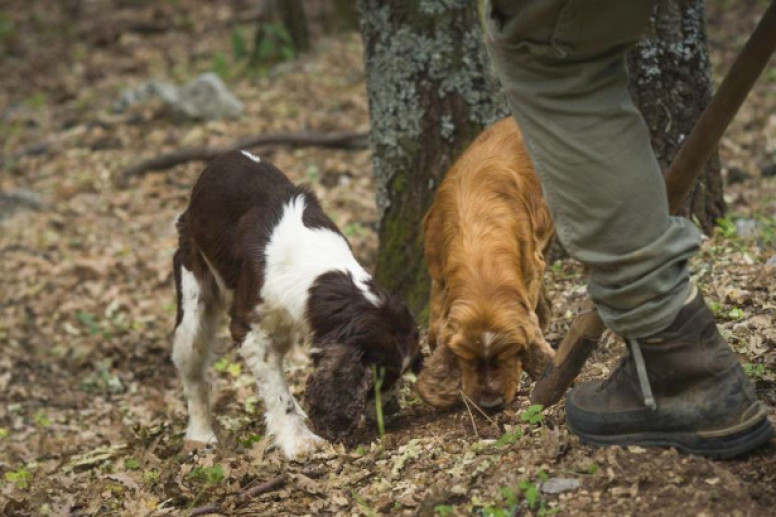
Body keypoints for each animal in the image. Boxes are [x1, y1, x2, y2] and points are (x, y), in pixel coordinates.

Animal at [174, 151, 422, 458]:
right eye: (379, 379)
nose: (392, 410)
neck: (316, 270)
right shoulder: (248, 329)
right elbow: (278, 394)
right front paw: (300, 441)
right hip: (192, 302)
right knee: (193, 372)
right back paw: (199, 436)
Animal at [418, 119, 556, 410]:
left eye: (510, 352)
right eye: (466, 358)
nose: (491, 404)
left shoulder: (530, 266)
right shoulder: (437, 275)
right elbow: (435, 328)